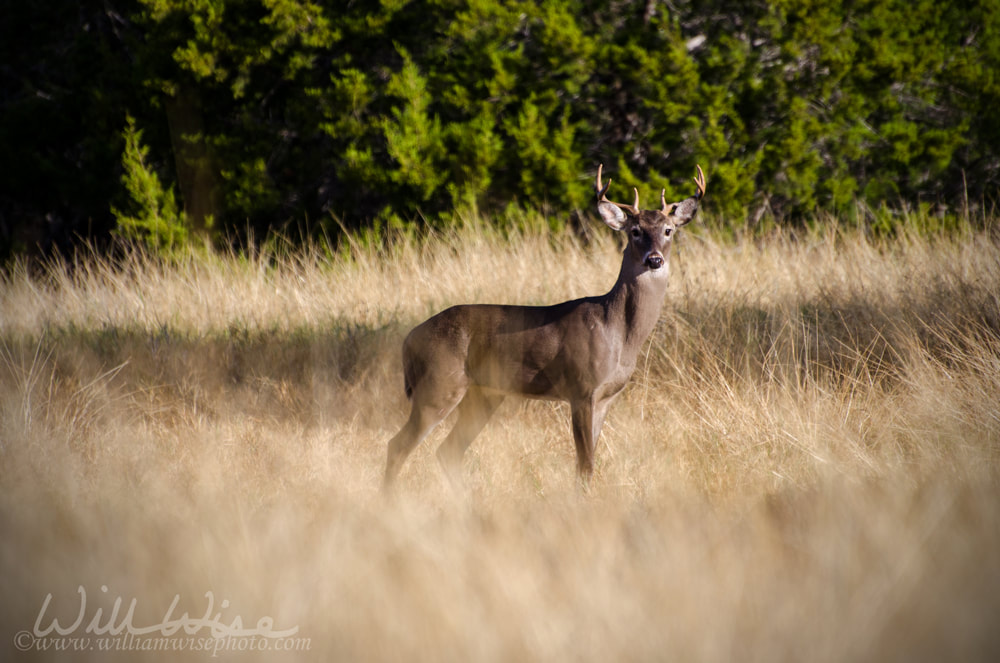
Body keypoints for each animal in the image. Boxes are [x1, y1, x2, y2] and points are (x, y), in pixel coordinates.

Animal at [378, 163, 708, 490]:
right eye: (636, 231)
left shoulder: (606, 397)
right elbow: (585, 464)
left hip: (483, 393)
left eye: (668, 230)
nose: (654, 259)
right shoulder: (581, 387)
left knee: (448, 451)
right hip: (439, 384)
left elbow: (587, 462)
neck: (619, 332)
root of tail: (409, 339)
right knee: (397, 445)